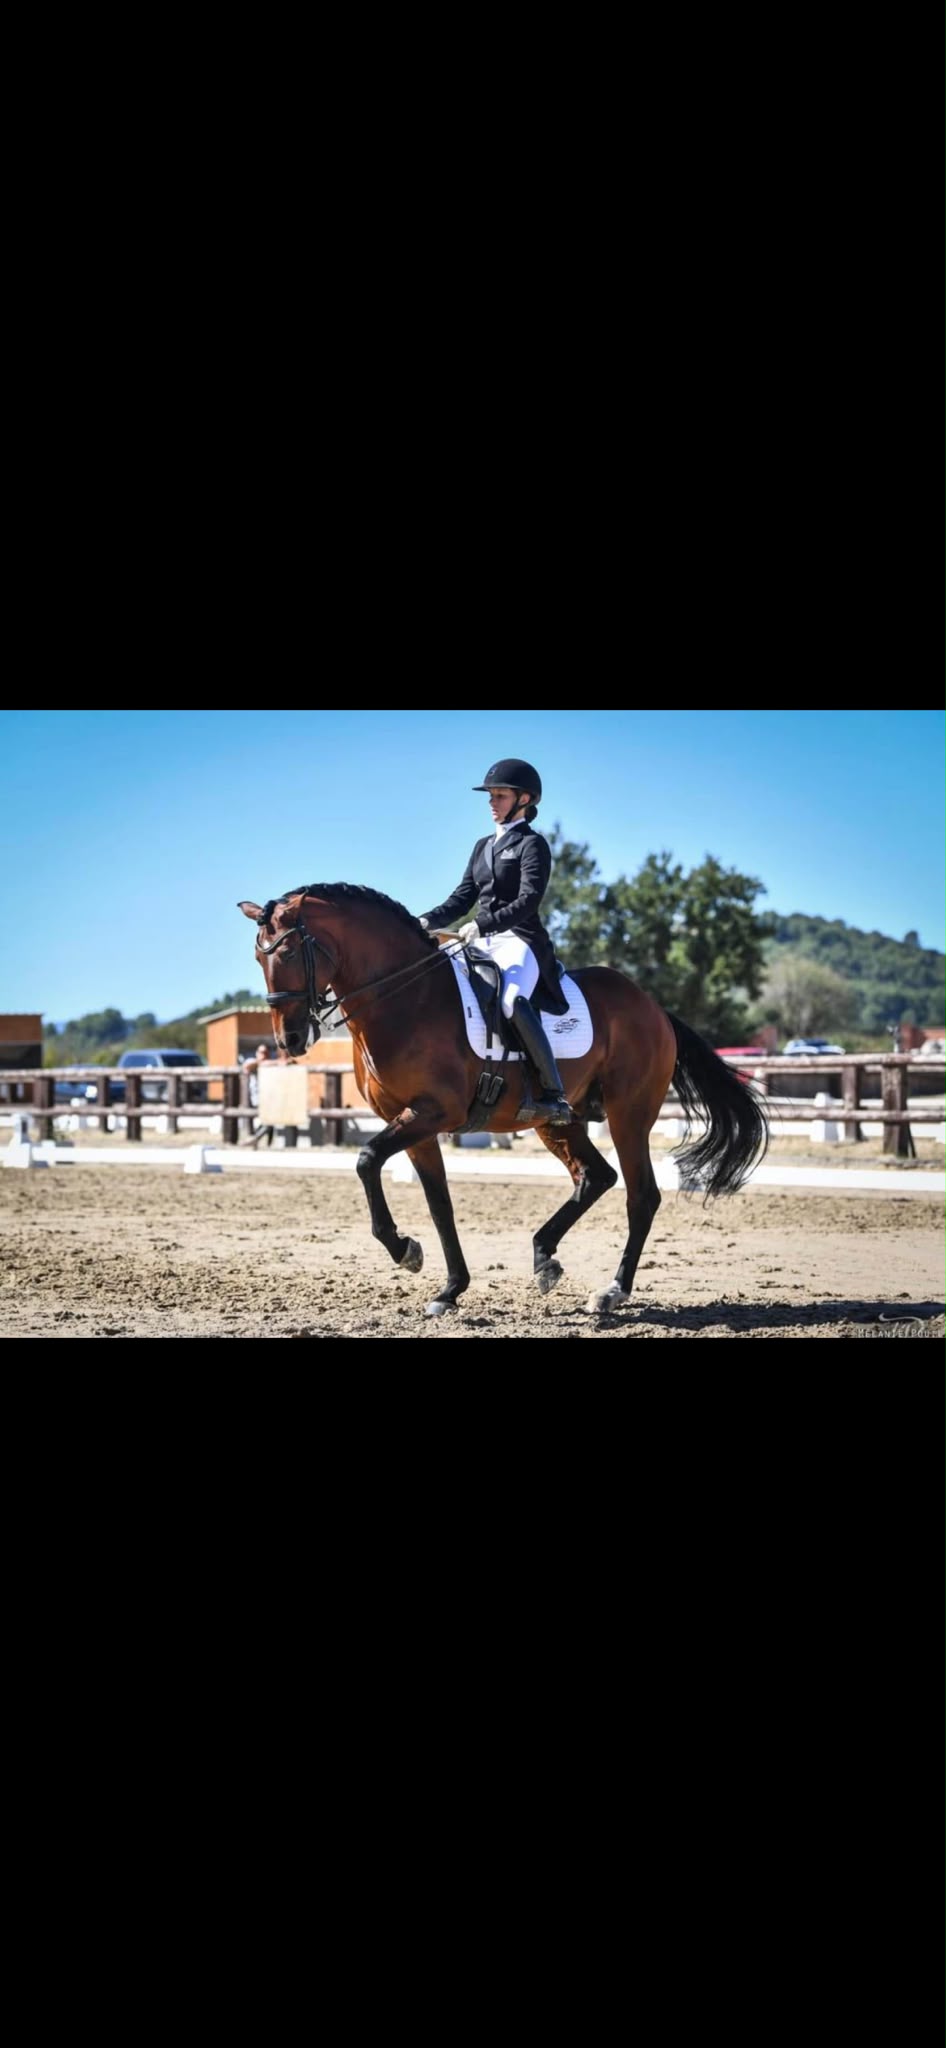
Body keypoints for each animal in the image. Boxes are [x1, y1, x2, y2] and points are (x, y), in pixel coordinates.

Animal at [238, 884, 768, 1319]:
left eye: (291, 951)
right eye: (258, 959)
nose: (289, 1040)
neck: (406, 998)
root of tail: (653, 1007)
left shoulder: (432, 1112)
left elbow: (367, 1159)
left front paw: (404, 1250)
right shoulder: (412, 1122)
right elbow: (439, 1203)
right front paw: (450, 1289)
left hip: (628, 1115)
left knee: (641, 1195)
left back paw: (612, 1291)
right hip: (559, 1121)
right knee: (594, 1177)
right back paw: (544, 1258)